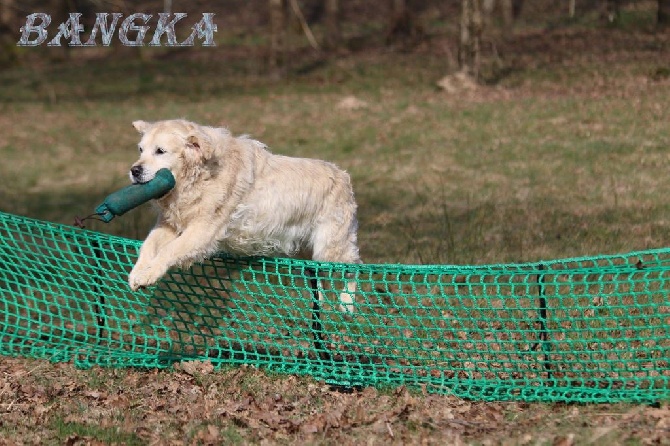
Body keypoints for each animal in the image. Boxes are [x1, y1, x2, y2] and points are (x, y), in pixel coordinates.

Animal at [129, 120, 364, 312]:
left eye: (160, 151)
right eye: (140, 149)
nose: (134, 170)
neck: (199, 176)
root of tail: (344, 176)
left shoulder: (203, 230)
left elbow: (169, 250)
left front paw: (148, 274)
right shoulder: (170, 223)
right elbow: (148, 245)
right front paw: (137, 273)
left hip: (330, 246)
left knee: (353, 266)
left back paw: (347, 303)